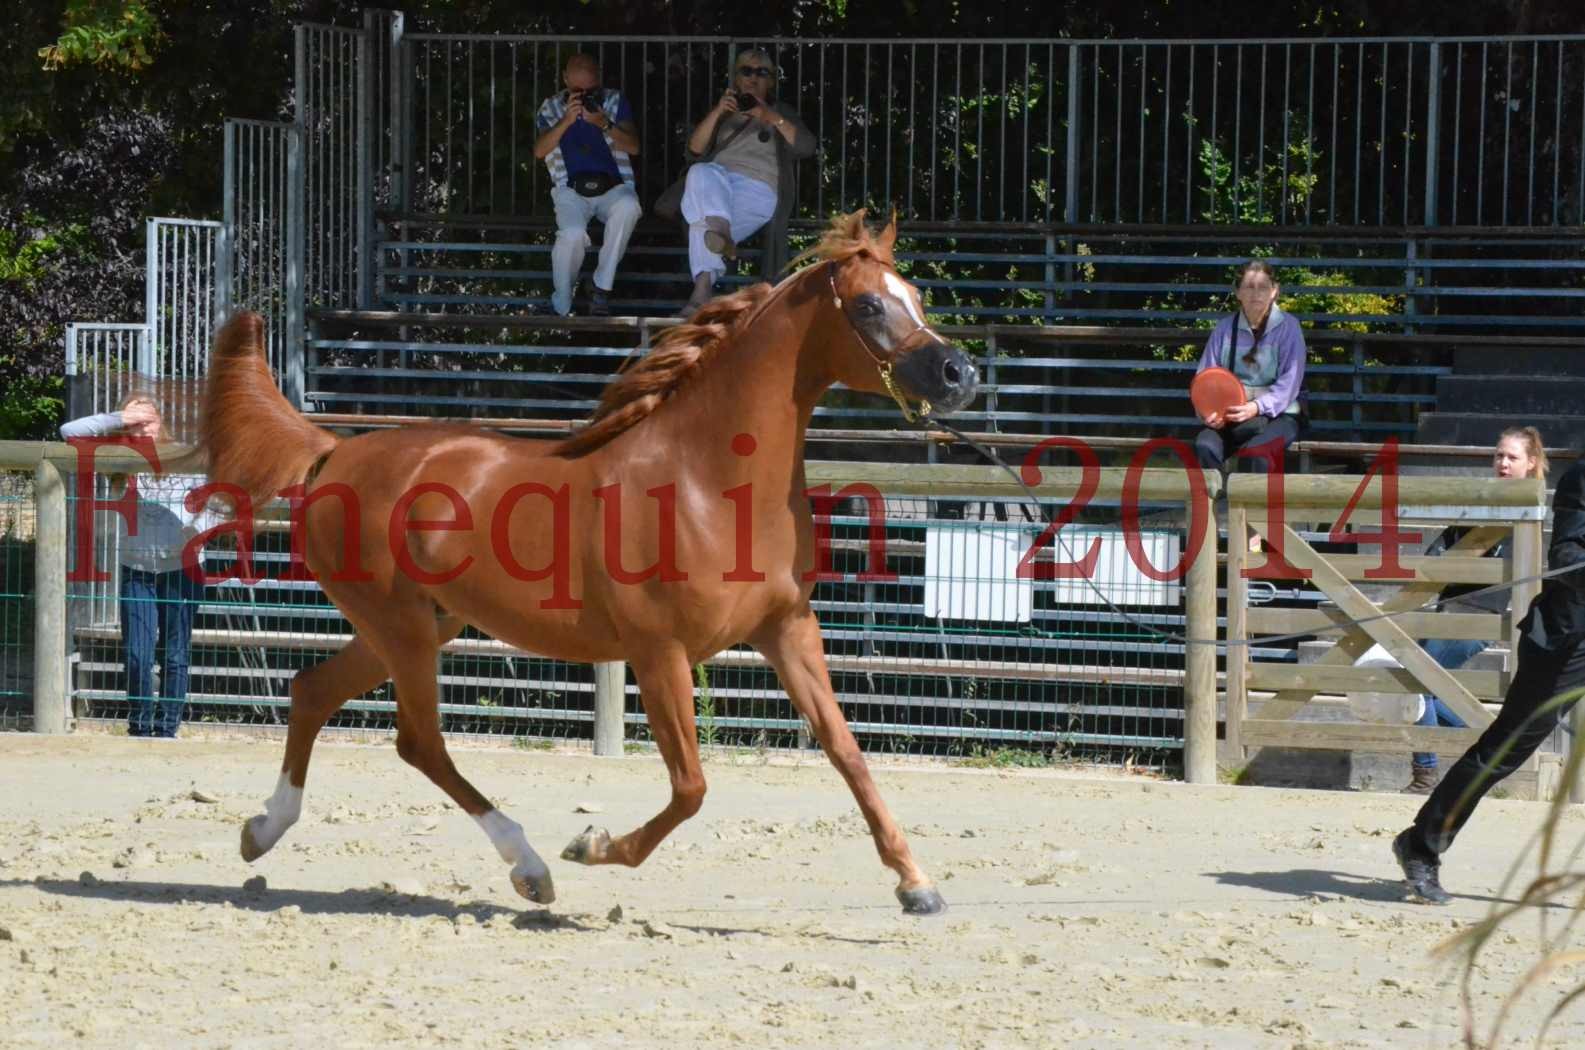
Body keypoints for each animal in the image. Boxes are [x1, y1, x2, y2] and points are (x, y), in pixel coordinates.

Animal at [201, 209, 976, 919]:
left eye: (915, 295)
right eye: (869, 305)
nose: (959, 374)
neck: (707, 481)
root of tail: (334, 450)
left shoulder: (788, 629)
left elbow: (846, 751)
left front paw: (917, 884)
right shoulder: (659, 652)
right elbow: (691, 787)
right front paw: (592, 846)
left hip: (415, 625)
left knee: (313, 692)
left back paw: (261, 831)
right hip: (404, 630)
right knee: (420, 742)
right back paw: (532, 869)